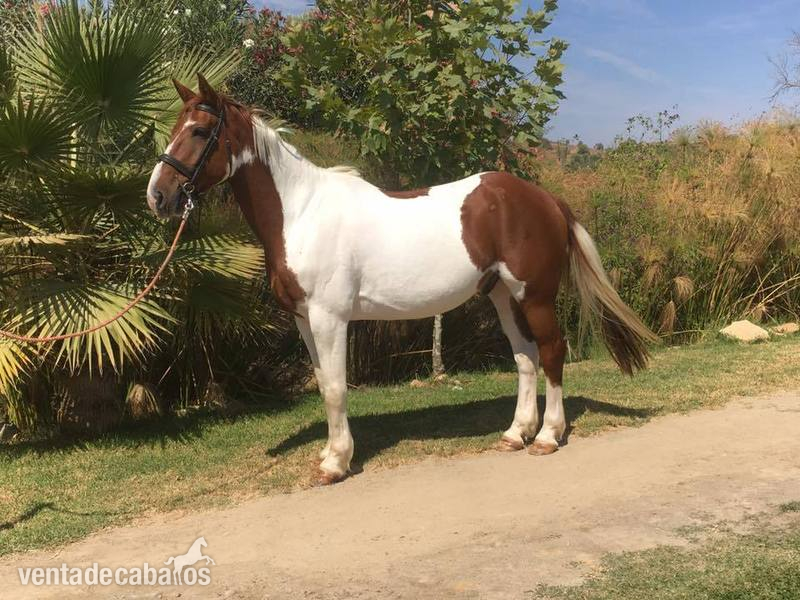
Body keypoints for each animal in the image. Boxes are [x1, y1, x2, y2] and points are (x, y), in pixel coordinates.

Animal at [147, 74, 657, 485]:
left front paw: (336, 464)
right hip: (502, 297)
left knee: (551, 352)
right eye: (172, 130)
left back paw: (549, 435)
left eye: (198, 131)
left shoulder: (330, 319)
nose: (158, 196)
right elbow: (322, 382)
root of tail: (546, 199)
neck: (301, 211)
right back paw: (516, 433)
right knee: (525, 357)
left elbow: (336, 387)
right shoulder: (304, 320)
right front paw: (329, 453)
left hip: (535, 296)